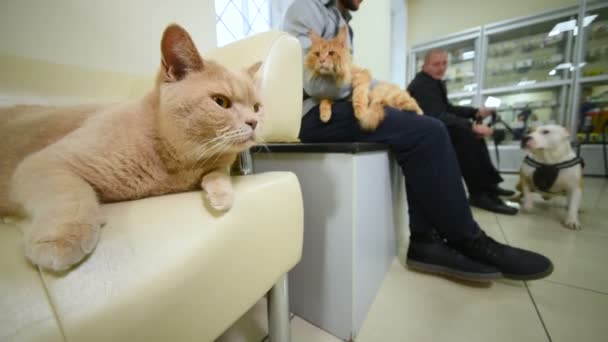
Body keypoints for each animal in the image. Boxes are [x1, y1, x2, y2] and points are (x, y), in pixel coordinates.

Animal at [0, 24, 266, 272]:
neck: (177, 165)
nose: (254, 122)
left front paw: (221, 194)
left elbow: (217, 174)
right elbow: (71, 195)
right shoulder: (43, 162)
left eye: (256, 107)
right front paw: (61, 240)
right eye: (221, 102)